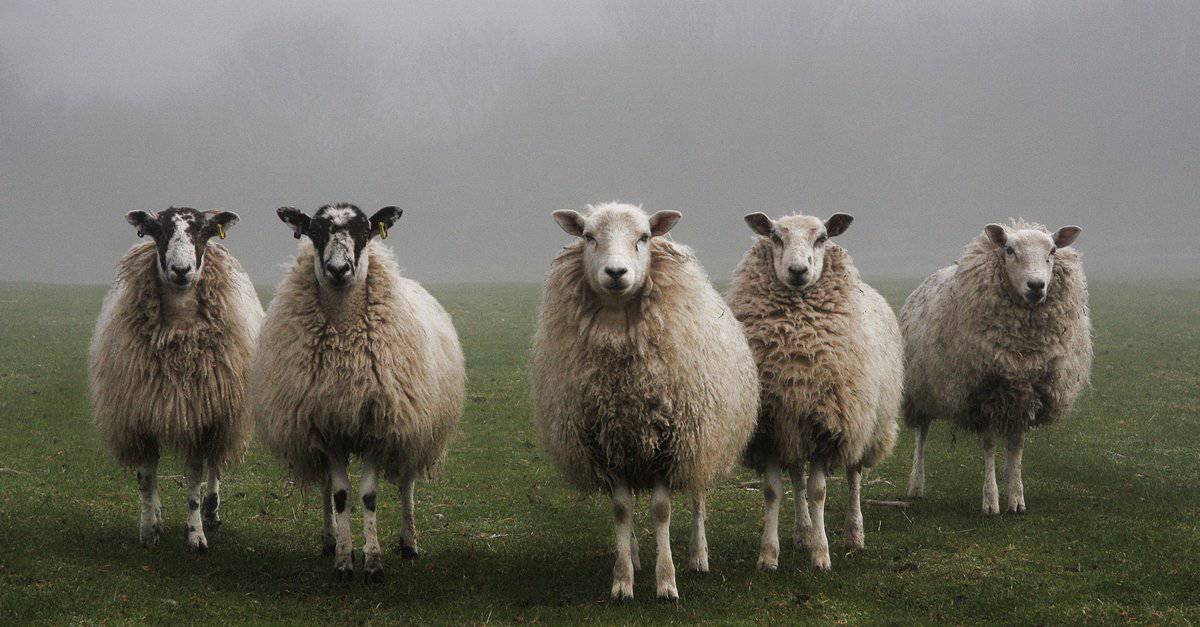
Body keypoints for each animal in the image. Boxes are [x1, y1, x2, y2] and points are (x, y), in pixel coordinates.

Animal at [90, 207, 262, 553]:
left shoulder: (202, 414)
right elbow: (146, 477)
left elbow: (195, 478)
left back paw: (212, 511)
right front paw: (148, 529)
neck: (178, 331)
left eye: (203, 232)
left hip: (224, 413)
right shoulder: (140, 413)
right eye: (159, 231)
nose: (181, 270)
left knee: (215, 463)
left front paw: (196, 533)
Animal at [251, 203, 465, 583]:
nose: (338, 270)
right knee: (326, 486)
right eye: (314, 232)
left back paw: (409, 543)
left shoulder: (379, 428)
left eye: (365, 231)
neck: (344, 341)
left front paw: (374, 563)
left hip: (412, 426)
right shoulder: (327, 428)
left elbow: (368, 496)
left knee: (407, 483)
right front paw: (344, 560)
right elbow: (339, 495)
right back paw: (330, 541)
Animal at [531, 202, 759, 600]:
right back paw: (636, 555)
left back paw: (698, 556)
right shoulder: (606, 444)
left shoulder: (671, 444)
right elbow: (622, 510)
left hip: (702, 439)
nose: (616, 273)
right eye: (588, 236)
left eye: (645, 237)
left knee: (698, 495)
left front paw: (666, 582)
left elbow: (662, 511)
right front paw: (623, 580)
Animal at [727, 212, 903, 572]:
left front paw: (821, 555)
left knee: (853, 476)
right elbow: (773, 491)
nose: (797, 270)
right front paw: (769, 555)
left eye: (822, 238)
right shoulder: (772, 428)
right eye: (775, 237)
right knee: (797, 478)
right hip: (794, 430)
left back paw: (854, 535)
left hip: (862, 425)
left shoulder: (828, 425)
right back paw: (803, 533)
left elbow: (819, 491)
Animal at [901, 219, 1091, 514]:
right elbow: (989, 444)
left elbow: (1016, 446)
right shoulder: (983, 394)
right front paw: (991, 500)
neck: (1023, 348)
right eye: (1009, 250)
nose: (1036, 285)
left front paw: (1016, 497)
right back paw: (916, 486)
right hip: (920, 387)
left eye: (1052, 251)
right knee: (922, 433)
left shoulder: (1025, 396)